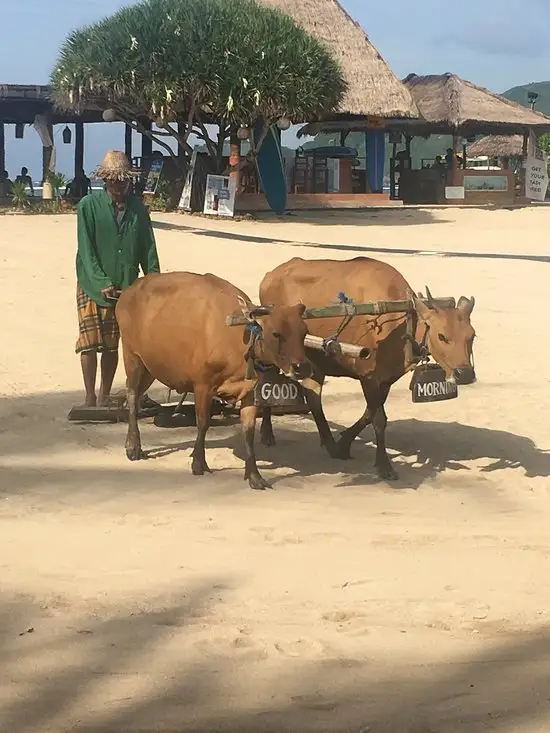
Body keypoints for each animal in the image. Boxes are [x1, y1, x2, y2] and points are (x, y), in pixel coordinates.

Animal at [115, 272, 314, 488]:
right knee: (132, 395)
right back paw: (133, 446)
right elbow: (203, 423)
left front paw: (254, 476)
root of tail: (129, 291)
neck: (238, 339)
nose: (302, 367)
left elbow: (248, 430)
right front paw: (198, 462)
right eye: (276, 333)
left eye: (304, 331)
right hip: (133, 357)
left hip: (151, 366)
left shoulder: (249, 390)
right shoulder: (202, 386)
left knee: (136, 395)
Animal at [260, 258, 476, 480]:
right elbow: (378, 419)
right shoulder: (368, 375)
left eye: (472, 335)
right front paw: (384, 465)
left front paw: (344, 442)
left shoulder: (385, 379)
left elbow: (369, 414)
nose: (465, 374)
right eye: (442, 336)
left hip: (314, 362)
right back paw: (268, 433)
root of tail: (271, 274)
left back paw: (330, 444)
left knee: (313, 398)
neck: (401, 322)